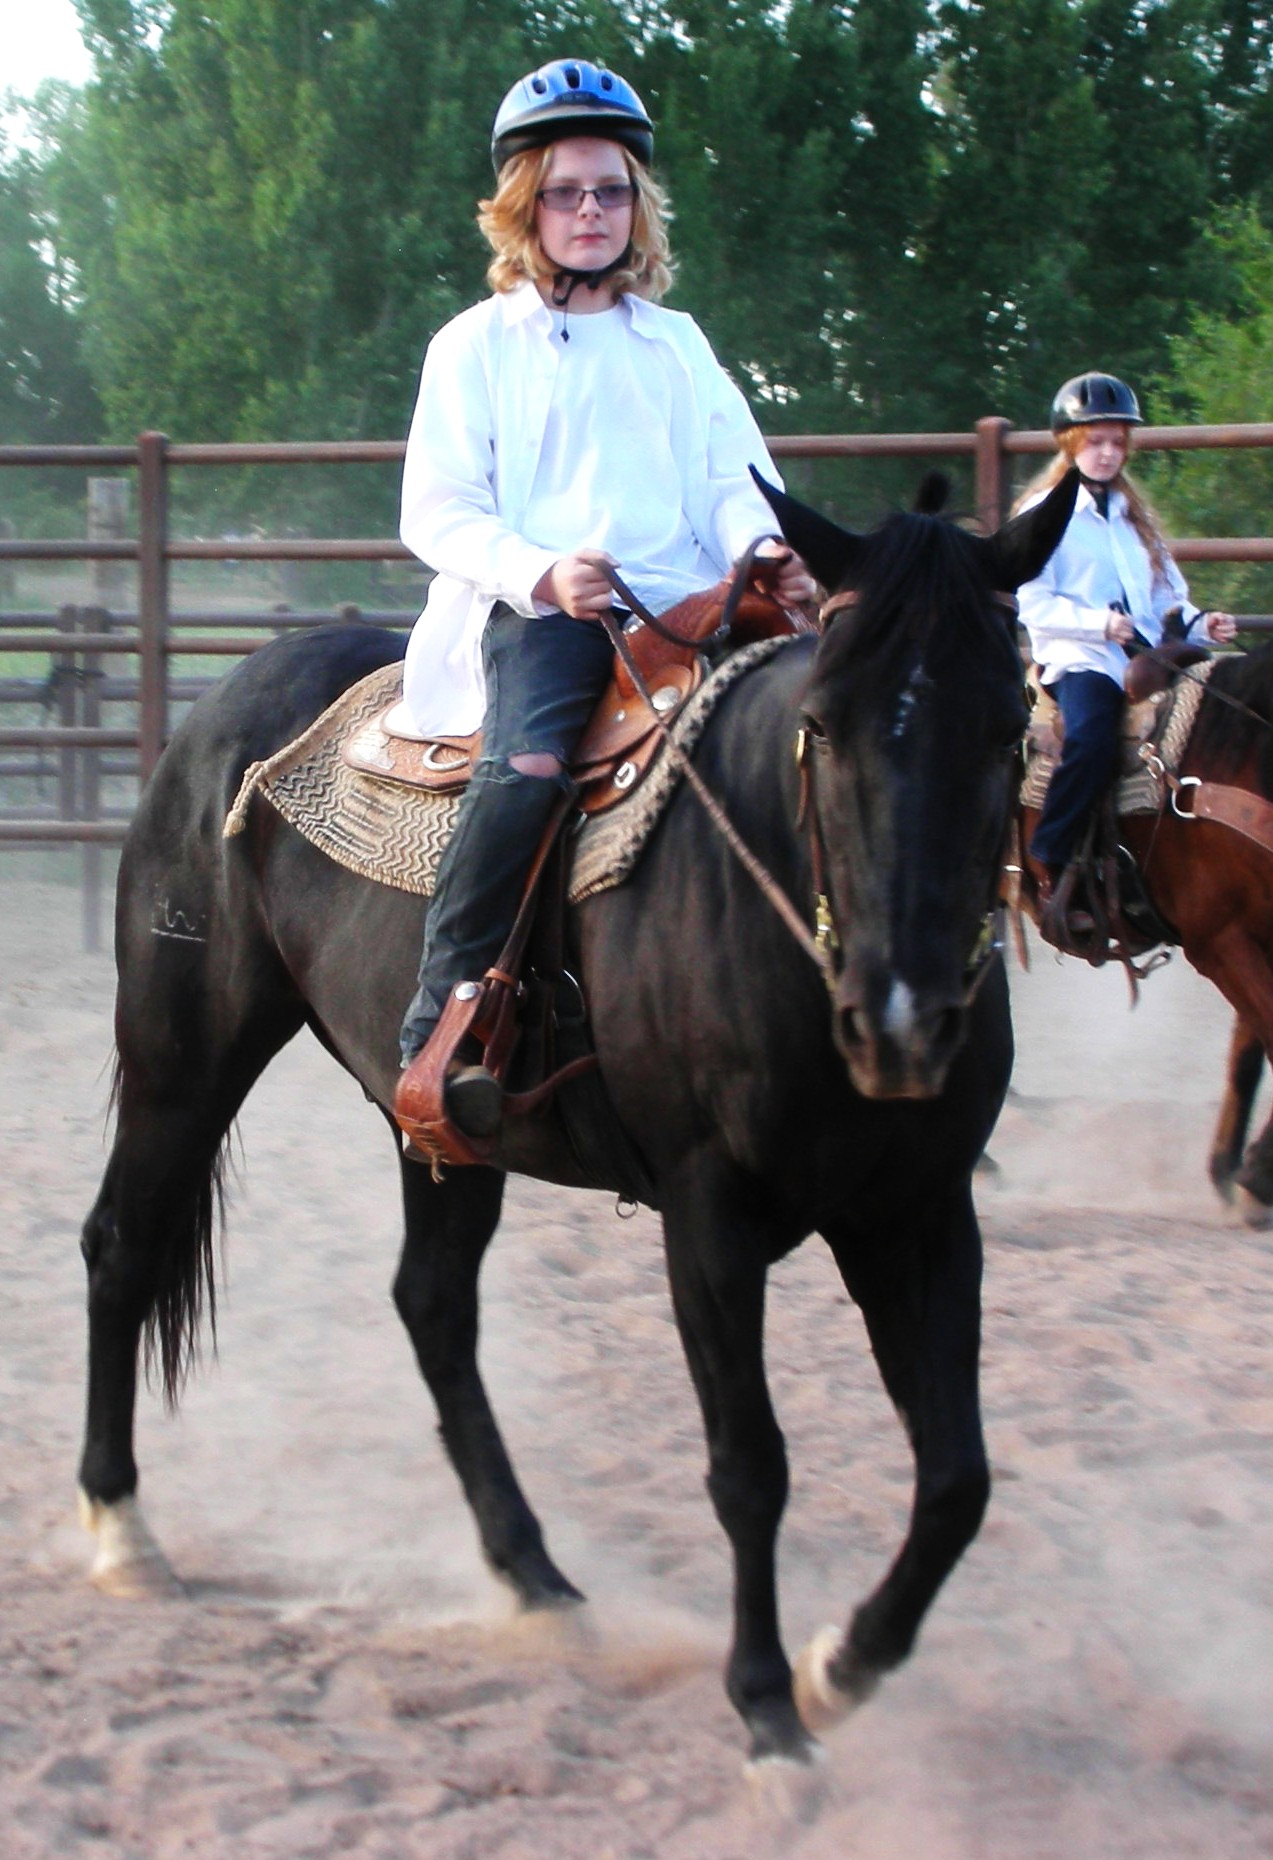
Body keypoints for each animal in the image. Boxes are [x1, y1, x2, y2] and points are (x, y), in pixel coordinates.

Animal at [74, 465, 1079, 1755]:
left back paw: (534, 1576)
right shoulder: (708, 1216)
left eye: (1008, 729)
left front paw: (842, 1665)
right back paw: (122, 1535)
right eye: (823, 725)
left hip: (438, 1125)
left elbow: (957, 1477)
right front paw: (766, 1707)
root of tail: (224, 709)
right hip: (182, 1052)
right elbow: (748, 1464)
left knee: (431, 1304)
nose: (898, 1021)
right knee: (123, 1245)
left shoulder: (919, 1210)